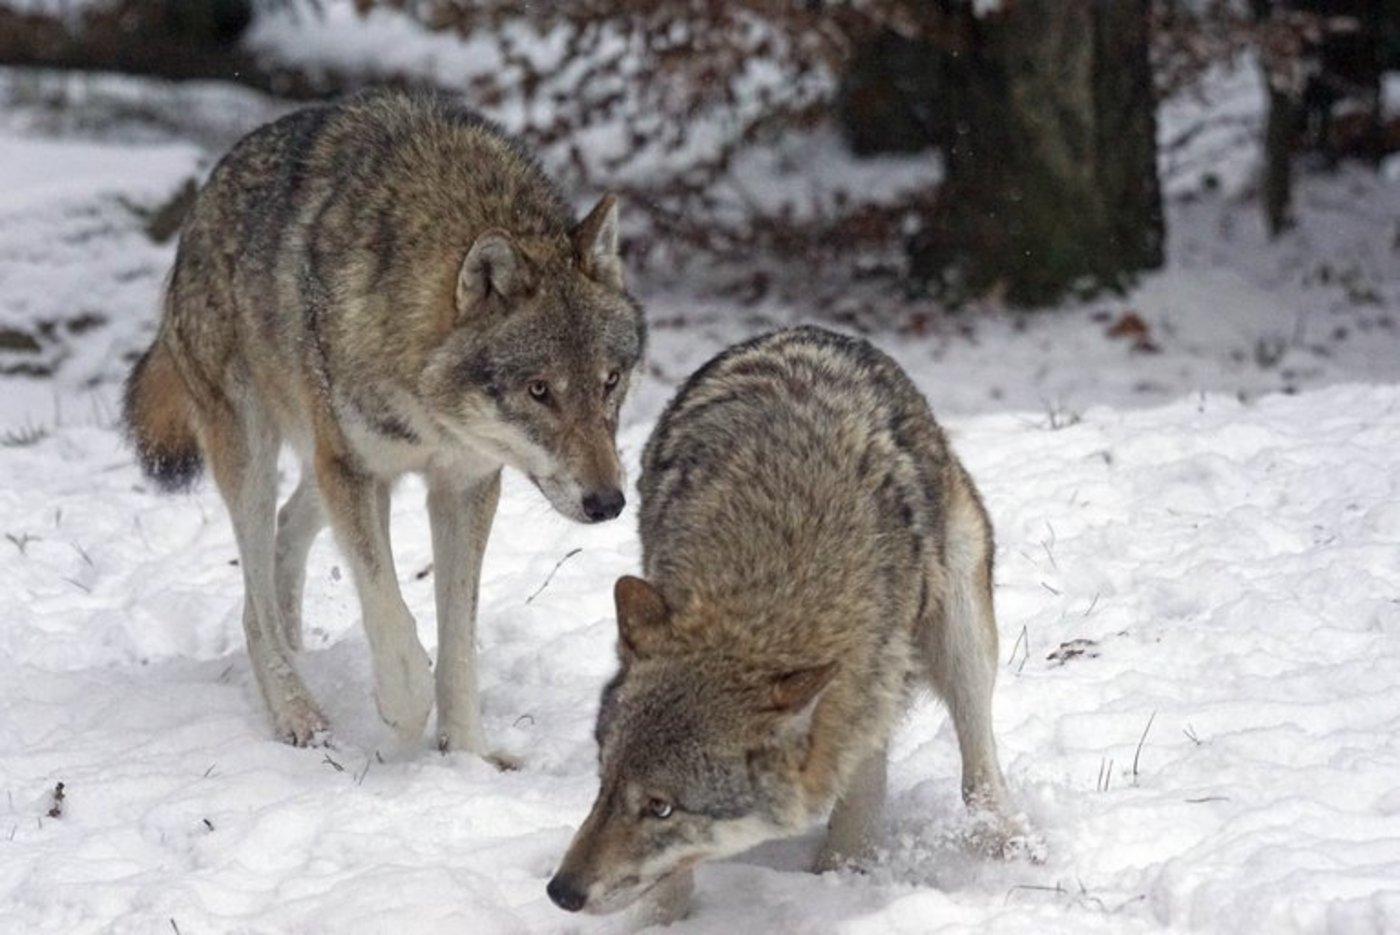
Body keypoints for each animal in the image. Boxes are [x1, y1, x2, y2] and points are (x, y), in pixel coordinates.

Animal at [122, 89, 645, 755]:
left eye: (610, 380)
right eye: (539, 390)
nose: (608, 503)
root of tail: (200, 206)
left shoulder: (465, 484)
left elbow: (458, 642)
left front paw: (465, 756)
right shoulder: (358, 473)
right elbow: (390, 613)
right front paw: (401, 711)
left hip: (321, 462)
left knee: (283, 539)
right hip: (258, 456)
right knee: (256, 599)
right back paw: (296, 711)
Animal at [548, 326, 1028, 919]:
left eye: (660, 807)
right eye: (605, 781)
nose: (560, 892)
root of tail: (805, 331)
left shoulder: (867, 694)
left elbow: (860, 802)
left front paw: (841, 880)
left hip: (960, 637)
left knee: (978, 761)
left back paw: (1009, 844)